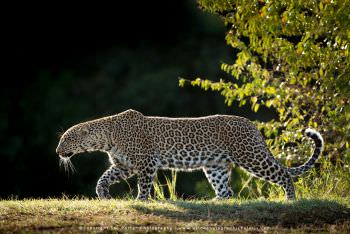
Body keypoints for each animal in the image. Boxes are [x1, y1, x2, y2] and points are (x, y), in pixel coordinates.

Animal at [56, 109, 324, 200]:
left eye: (65, 138)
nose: (57, 151)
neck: (107, 138)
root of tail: (252, 125)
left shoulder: (145, 163)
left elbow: (144, 185)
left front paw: (141, 201)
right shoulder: (125, 165)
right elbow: (104, 178)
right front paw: (103, 194)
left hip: (250, 156)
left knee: (283, 175)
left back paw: (291, 199)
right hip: (215, 166)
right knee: (226, 190)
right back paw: (215, 203)